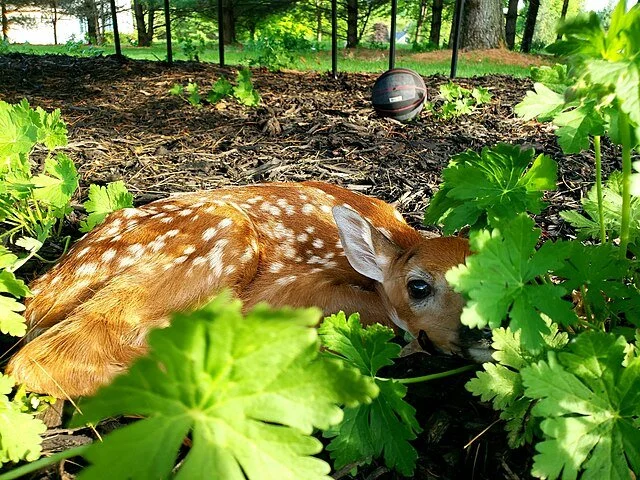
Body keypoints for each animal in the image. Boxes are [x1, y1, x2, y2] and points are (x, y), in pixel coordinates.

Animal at [7, 181, 492, 399]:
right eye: (418, 286)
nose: (486, 330)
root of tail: (39, 294)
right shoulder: (294, 292)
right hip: (219, 237)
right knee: (36, 361)